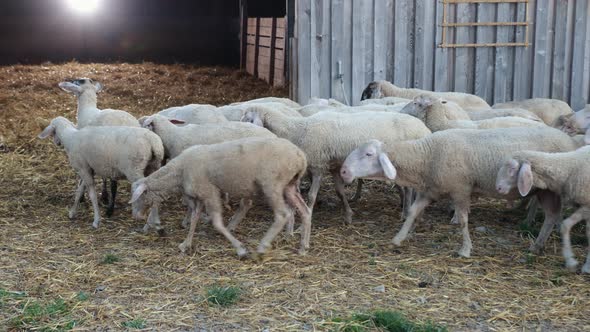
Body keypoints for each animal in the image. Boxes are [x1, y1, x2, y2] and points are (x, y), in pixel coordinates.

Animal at [130, 136, 314, 258]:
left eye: (138, 197)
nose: (136, 216)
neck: (178, 172)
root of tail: (300, 156)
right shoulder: (201, 196)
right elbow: (194, 219)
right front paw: (185, 244)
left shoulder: (209, 192)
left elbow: (217, 223)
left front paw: (240, 249)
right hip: (289, 185)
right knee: (305, 211)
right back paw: (303, 247)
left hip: (272, 184)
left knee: (283, 214)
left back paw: (262, 247)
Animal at [239, 105, 430, 224]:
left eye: (248, 119)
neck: (298, 129)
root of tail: (424, 128)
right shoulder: (334, 167)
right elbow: (339, 192)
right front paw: (348, 215)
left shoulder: (317, 166)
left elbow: (311, 196)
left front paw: (307, 216)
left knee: (409, 188)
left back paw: (406, 213)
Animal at [340, 126, 584, 258]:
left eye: (369, 154)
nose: (343, 171)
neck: (427, 156)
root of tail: (570, 141)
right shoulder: (431, 189)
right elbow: (413, 212)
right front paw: (399, 238)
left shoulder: (460, 189)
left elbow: (464, 220)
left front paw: (465, 249)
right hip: (545, 191)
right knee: (551, 216)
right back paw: (537, 246)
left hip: (550, 189)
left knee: (552, 216)